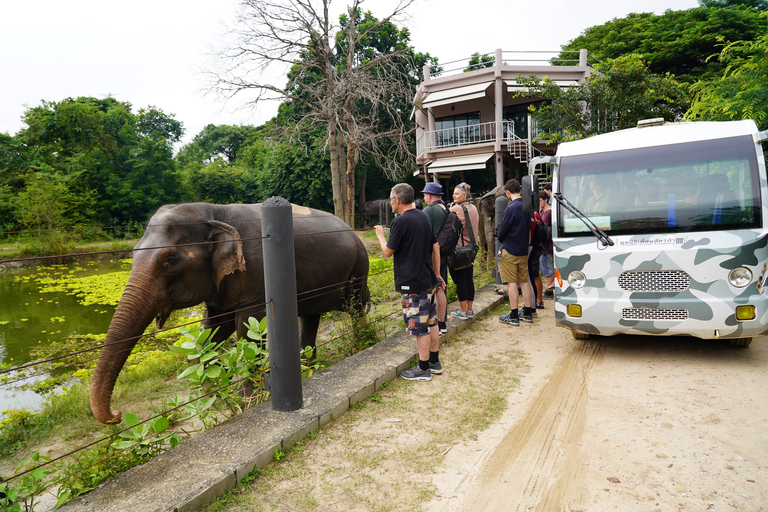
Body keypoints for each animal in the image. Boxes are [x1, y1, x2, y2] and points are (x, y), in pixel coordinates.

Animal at [88, 201, 370, 424]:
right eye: (133, 253)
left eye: (170, 260)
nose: (117, 415)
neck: (214, 212)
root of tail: (351, 229)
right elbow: (213, 328)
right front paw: (213, 392)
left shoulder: (256, 271)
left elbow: (247, 327)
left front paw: (247, 399)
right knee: (312, 316)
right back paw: (307, 367)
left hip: (360, 266)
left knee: (355, 306)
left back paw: (362, 344)